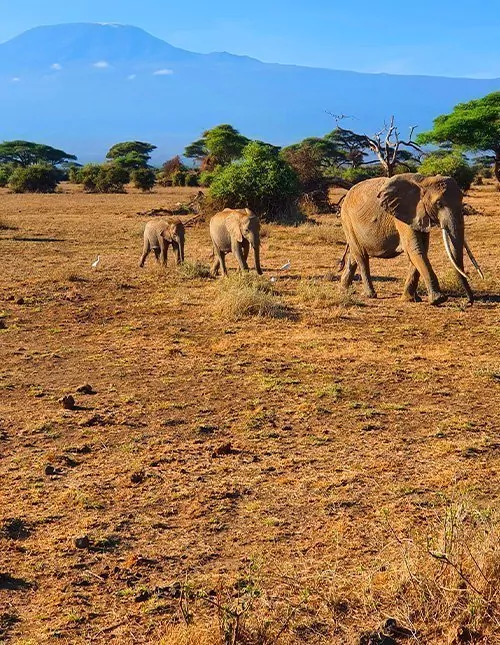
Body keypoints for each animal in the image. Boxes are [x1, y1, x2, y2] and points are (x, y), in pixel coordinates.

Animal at [338, 174, 482, 304]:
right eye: (439, 204)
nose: (468, 302)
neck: (424, 182)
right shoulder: (403, 215)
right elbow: (414, 249)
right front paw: (438, 300)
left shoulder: (419, 216)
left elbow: (420, 249)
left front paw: (410, 299)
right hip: (347, 220)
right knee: (361, 256)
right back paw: (370, 295)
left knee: (354, 255)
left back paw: (345, 289)